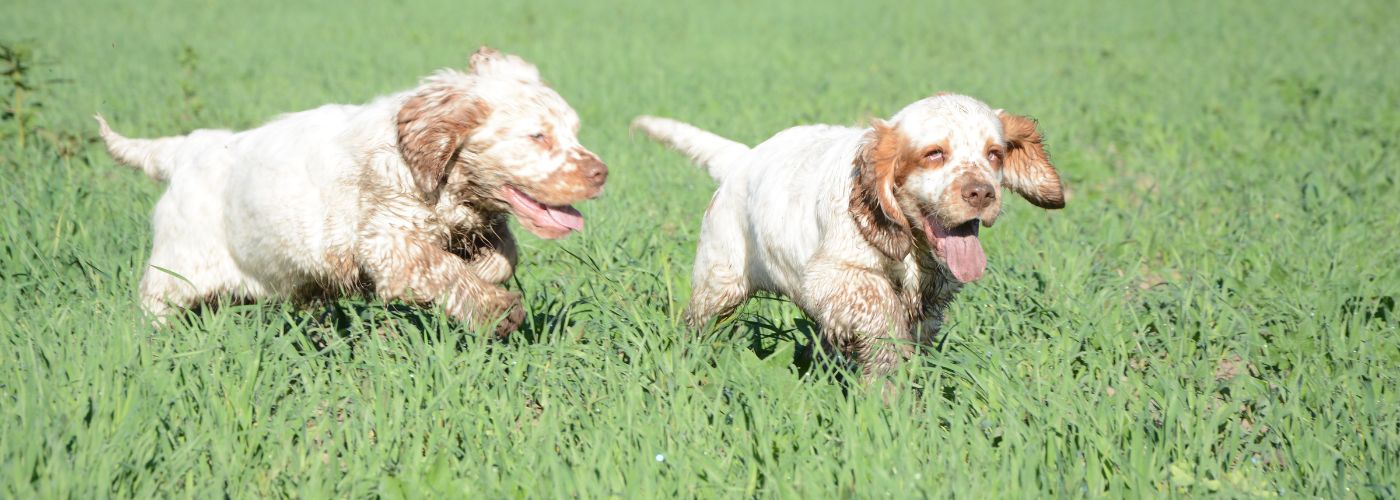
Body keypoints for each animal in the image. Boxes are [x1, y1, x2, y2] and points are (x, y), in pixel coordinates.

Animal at [95, 47, 604, 334]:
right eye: (537, 136)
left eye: (575, 131)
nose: (601, 173)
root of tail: (182, 150)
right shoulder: (389, 244)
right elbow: (441, 268)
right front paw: (497, 310)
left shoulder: (478, 222)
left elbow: (503, 254)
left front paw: (484, 272)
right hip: (173, 276)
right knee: (154, 307)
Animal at [632, 92, 1058, 375]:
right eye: (934, 154)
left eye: (994, 155)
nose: (982, 193)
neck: (911, 243)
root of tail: (743, 158)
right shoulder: (834, 274)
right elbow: (880, 310)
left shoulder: (933, 298)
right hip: (719, 283)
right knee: (697, 322)